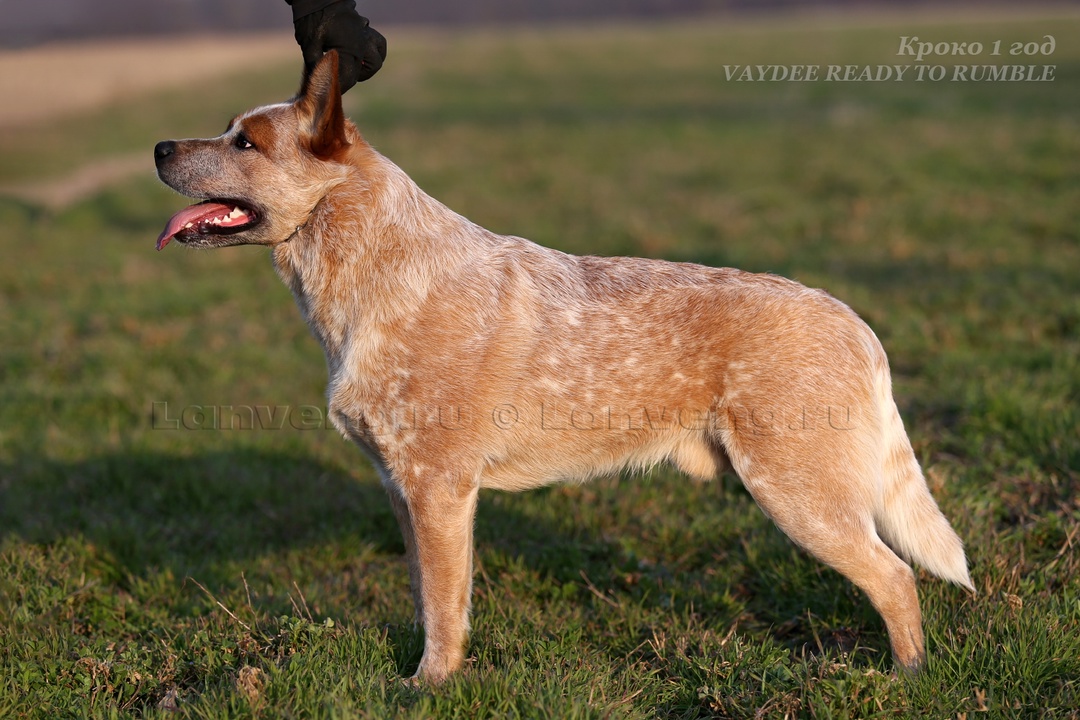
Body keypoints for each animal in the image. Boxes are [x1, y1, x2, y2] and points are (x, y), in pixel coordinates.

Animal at [152, 52, 972, 686]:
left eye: (246, 141)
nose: (158, 146)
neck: (369, 268)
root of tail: (857, 325)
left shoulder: (439, 488)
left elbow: (443, 607)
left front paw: (429, 687)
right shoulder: (403, 489)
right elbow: (428, 596)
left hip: (799, 493)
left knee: (896, 577)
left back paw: (907, 679)